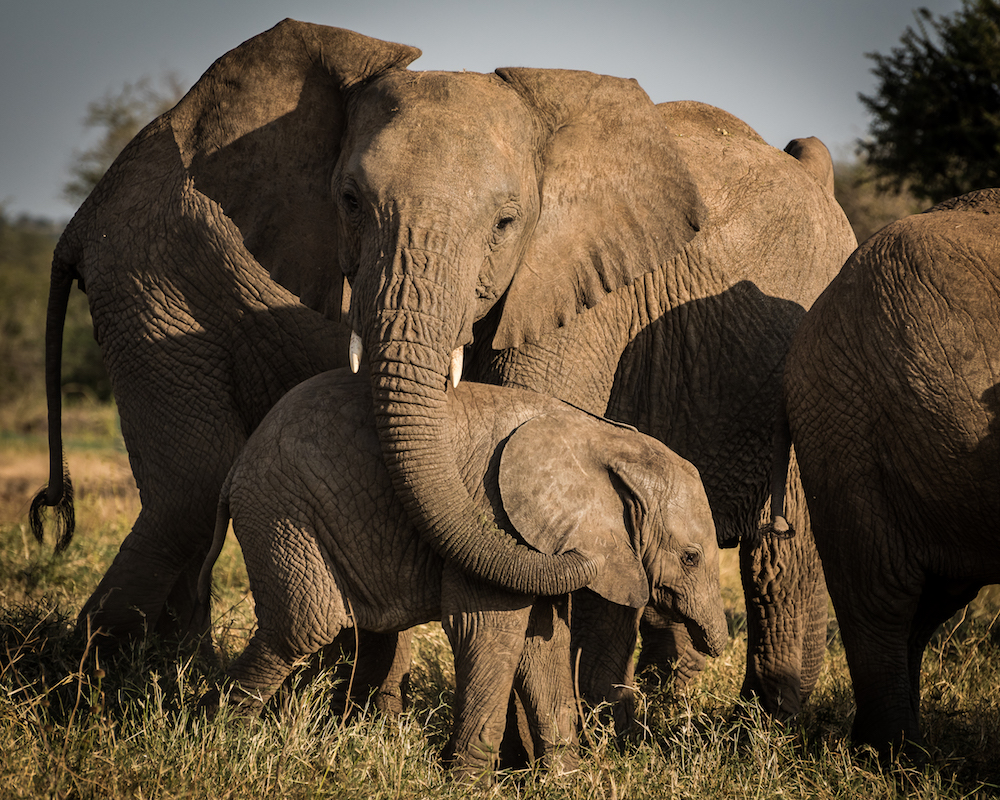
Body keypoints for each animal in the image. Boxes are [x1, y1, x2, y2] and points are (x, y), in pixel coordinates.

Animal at [35, 18, 856, 712]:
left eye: (506, 222)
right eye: (349, 201)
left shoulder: (581, 283)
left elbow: (529, 416)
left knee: (787, 550)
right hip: (149, 283)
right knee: (192, 486)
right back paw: (90, 689)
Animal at [197, 370, 728, 780]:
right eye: (691, 557)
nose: (717, 644)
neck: (606, 442)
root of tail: (235, 469)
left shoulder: (538, 538)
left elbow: (543, 643)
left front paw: (568, 781)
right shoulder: (496, 515)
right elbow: (489, 632)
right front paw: (467, 784)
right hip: (284, 515)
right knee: (302, 628)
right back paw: (220, 738)